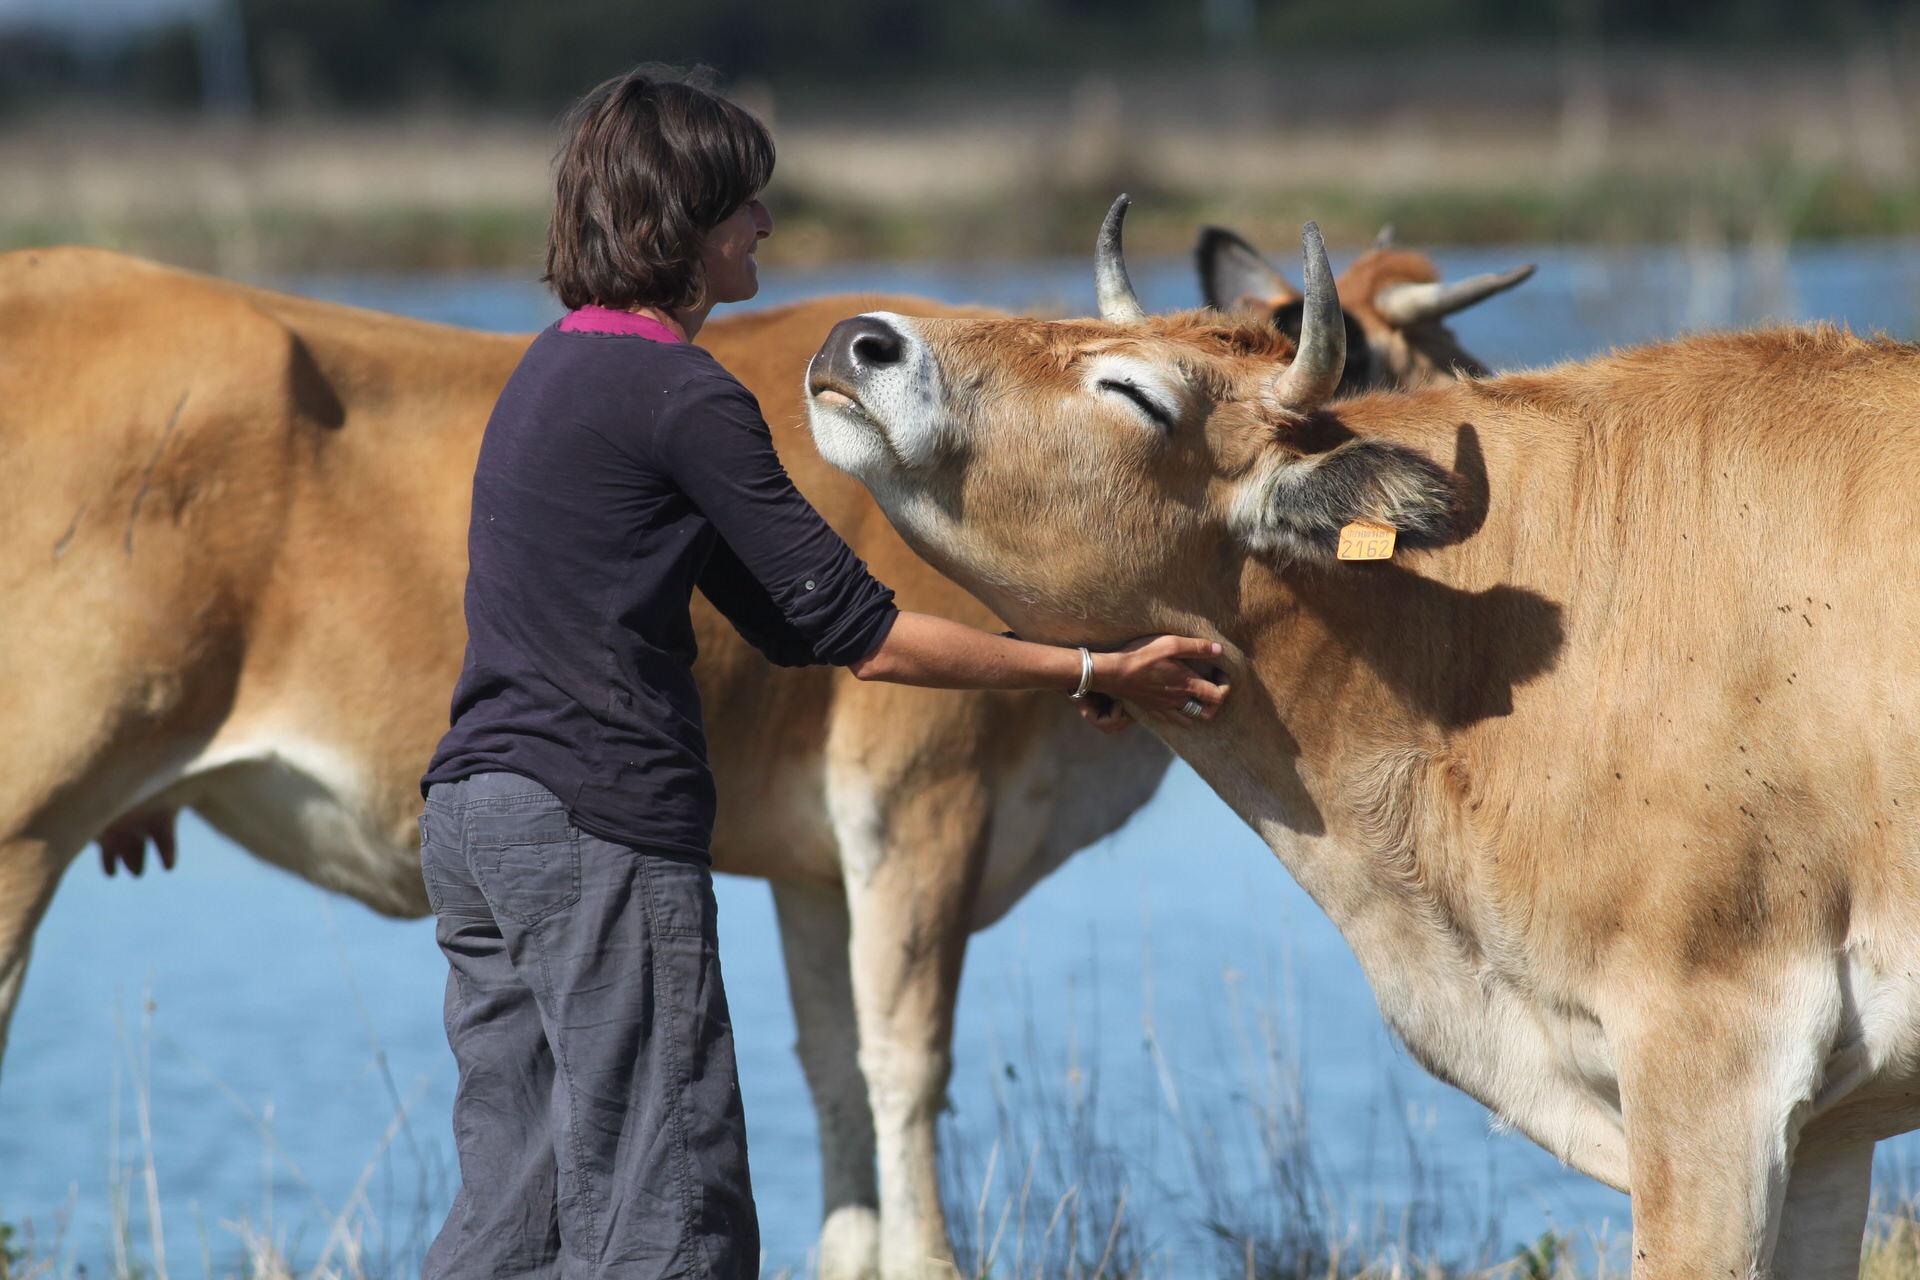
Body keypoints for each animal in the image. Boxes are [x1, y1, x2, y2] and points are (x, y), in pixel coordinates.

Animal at [0, 239, 1520, 1280]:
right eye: (1393, 365)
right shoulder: (921, 801)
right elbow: (909, 1057)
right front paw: (931, 1263)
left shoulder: (810, 858)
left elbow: (832, 1062)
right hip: (24, 826)